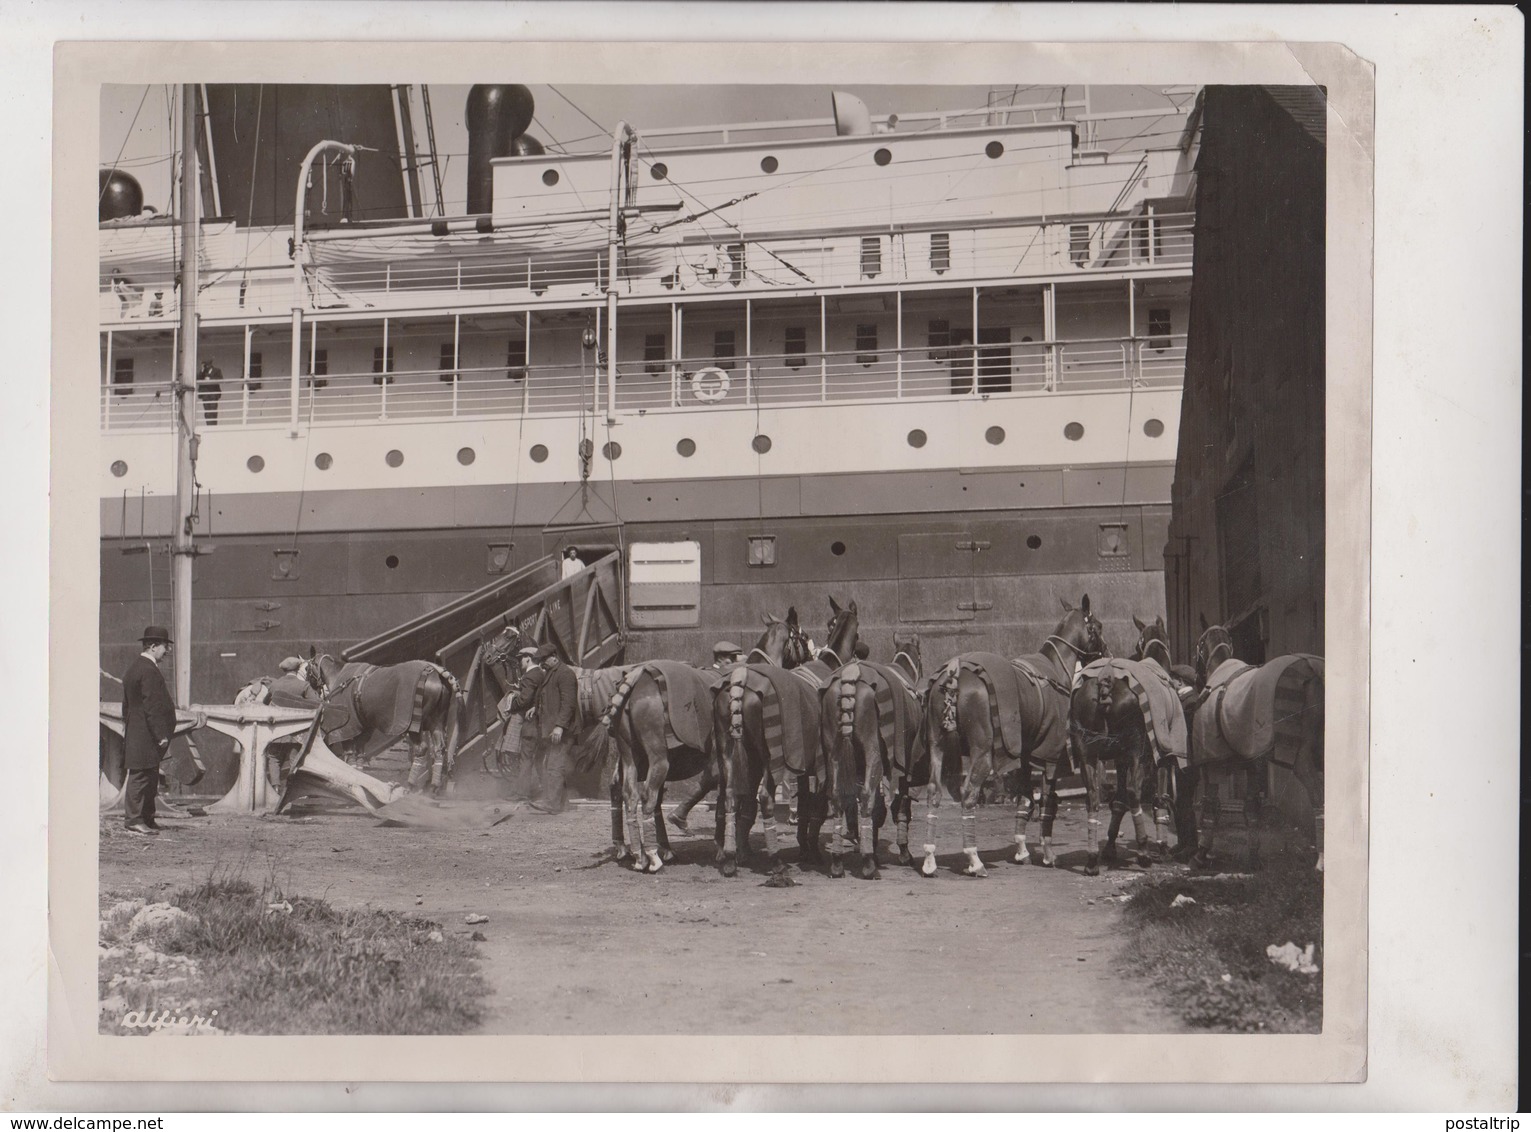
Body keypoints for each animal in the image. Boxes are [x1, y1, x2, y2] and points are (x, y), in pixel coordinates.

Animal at [820, 634, 924, 882]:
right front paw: (903, 852)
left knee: (837, 797)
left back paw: (838, 863)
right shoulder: (904, 764)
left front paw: (873, 847)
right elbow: (900, 806)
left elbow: (878, 809)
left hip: (834, 751)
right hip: (872, 751)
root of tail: (850, 676)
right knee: (866, 797)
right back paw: (868, 865)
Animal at [912, 603, 1108, 876]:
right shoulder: (1049, 757)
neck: (1054, 668)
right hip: (982, 753)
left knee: (934, 792)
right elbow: (1047, 802)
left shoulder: (1026, 756)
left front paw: (1022, 850)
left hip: (937, 746)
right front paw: (1047, 854)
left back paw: (930, 859)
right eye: (1098, 626)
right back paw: (974, 859)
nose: (1107, 653)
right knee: (969, 794)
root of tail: (954, 673)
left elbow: (1025, 798)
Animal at [1071, 615, 1188, 870]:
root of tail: (1105, 679)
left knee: (1093, 796)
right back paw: (1144, 851)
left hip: (1087, 751)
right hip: (1136, 749)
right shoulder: (1159, 756)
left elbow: (1119, 800)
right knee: (1135, 792)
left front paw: (1109, 847)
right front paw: (1161, 847)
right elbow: (1158, 798)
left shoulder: (1120, 758)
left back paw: (1092, 858)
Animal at [1181, 624, 1328, 870]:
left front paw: (1200, 854)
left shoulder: (1211, 763)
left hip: (1302, 758)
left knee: (1319, 800)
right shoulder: (1252, 764)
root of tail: (1313, 669)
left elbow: (1211, 807)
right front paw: (1253, 857)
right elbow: (1251, 810)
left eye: (1198, 645)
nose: (1197, 681)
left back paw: (1322, 861)